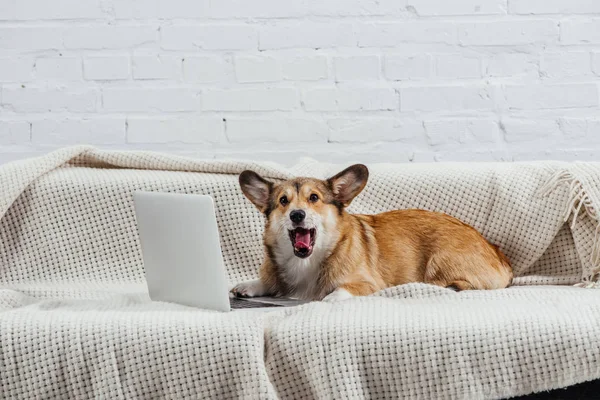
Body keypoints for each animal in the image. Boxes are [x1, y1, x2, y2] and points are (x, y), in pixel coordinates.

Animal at [230, 164, 510, 302]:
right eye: (283, 201)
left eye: (314, 198)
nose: (296, 215)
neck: (307, 262)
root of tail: (498, 254)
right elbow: (267, 282)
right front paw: (249, 286)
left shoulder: (367, 283)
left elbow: (338, 292)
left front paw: (328, 298)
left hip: (440, 259)